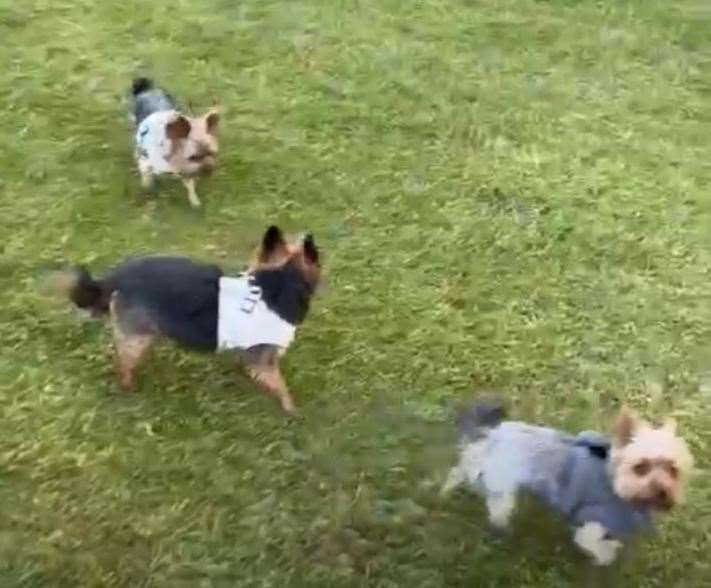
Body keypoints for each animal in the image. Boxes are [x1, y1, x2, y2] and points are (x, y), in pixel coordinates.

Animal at [59, 225, 322, 414]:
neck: (278, 283)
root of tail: (115, 277)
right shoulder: (264, 360)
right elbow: (281, 386)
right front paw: (292, 410)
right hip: (136, 338)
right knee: (123, 364)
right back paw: (129, 387)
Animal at [128, 77, 217, 208]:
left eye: (212, 153)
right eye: (194, 156)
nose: (208, 169)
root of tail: (147, 88)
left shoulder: (187, 171)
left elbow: (190, 186)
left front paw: (194, 201)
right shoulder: (146, 163)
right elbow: (147, 179)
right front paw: (148, 191)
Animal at [442, 400, 692, 564]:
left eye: (673, 470)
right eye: (641, 467)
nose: (662, 490)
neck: (615, 486)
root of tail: (495, 433)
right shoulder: (591, 523)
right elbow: (596, 546)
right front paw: (607, 554)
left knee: (460, 469)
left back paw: (445, 491)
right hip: (502, 485)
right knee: (495, 506)